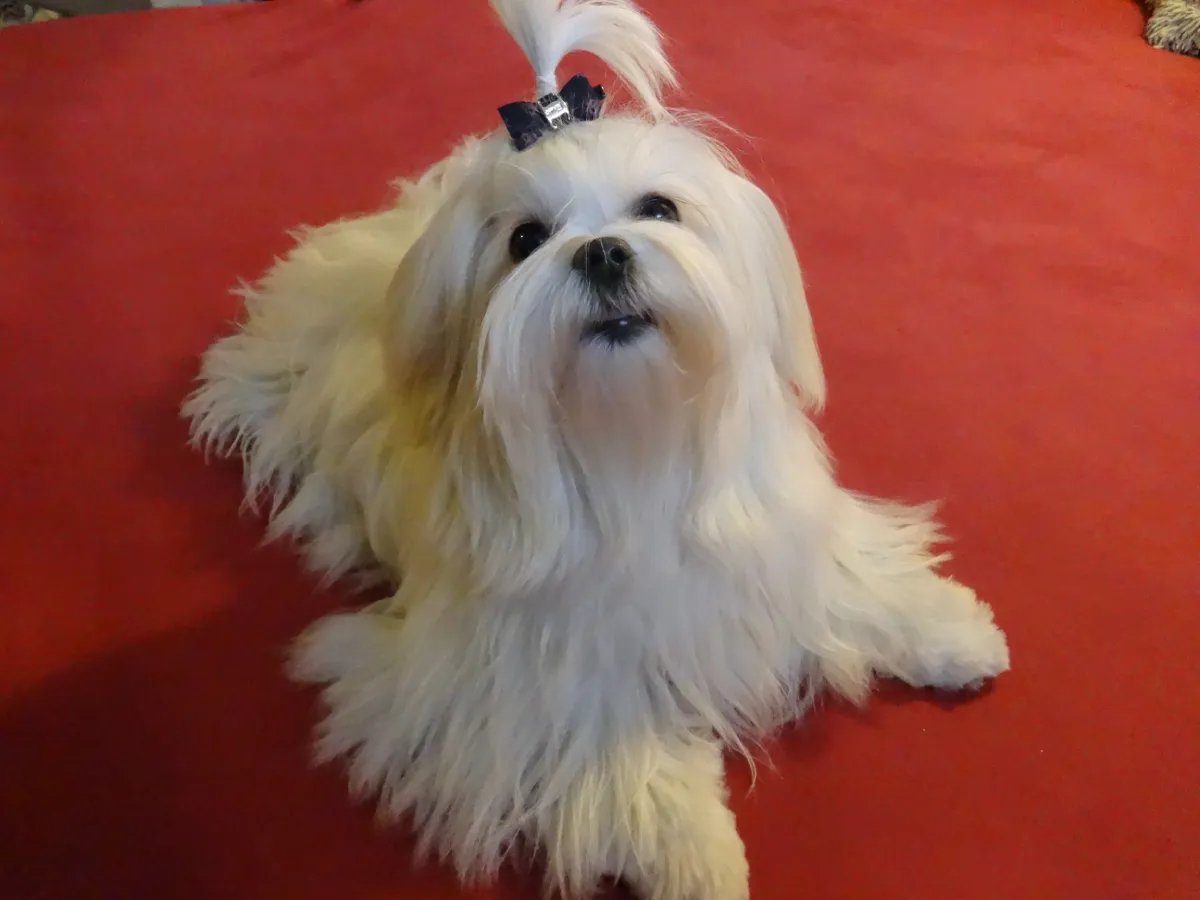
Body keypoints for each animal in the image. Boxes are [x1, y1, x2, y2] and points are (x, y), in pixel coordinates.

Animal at [183, 2, 1010, 898]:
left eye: (657, 209)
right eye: (525, 239)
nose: (604, 251)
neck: (633, 439)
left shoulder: (766, 537)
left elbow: (846, 575)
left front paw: (952, 635)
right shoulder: (517, 679)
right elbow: (620, 751)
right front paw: (700, 857)